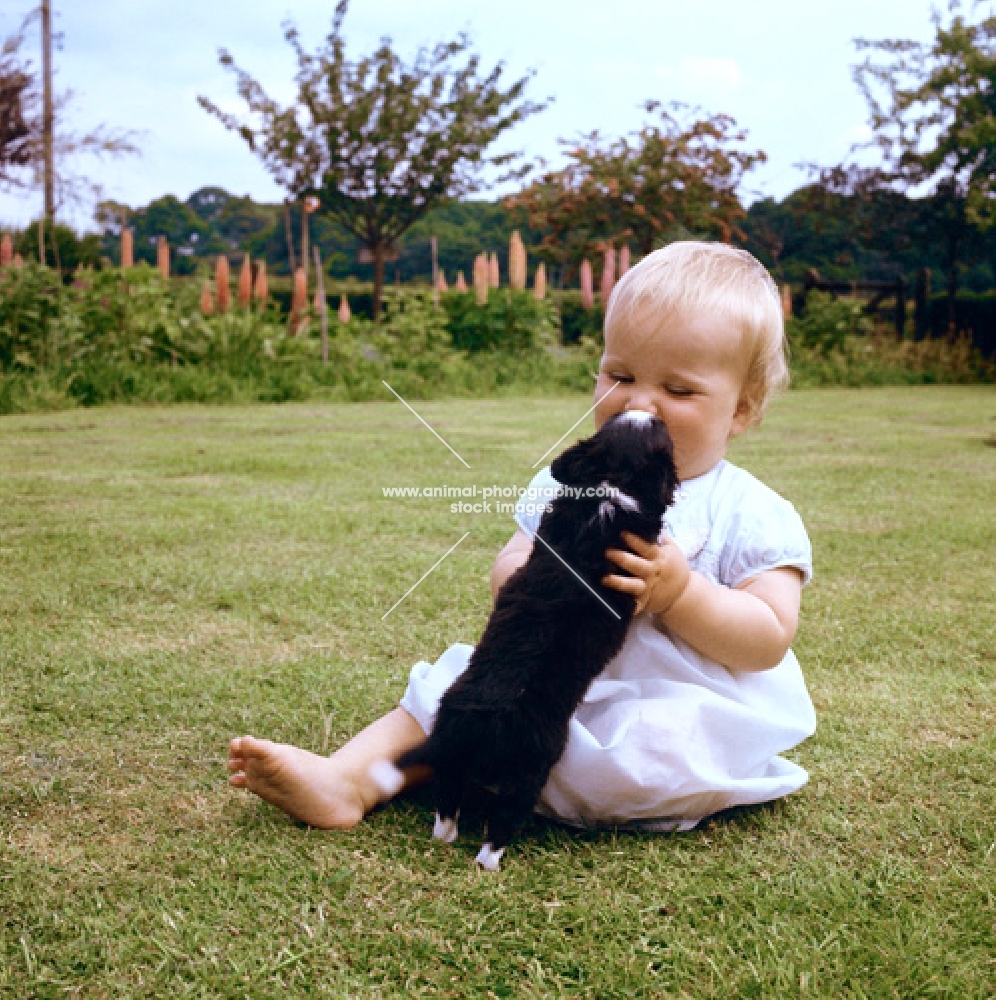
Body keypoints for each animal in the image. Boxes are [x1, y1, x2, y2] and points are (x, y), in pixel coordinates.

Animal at [372, 410, 676, 872]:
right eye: (663, 435)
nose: (652, 411)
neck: (609, 487)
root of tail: (481, 721)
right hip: (531, 771)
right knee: (499, 828)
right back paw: (490, 862)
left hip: (452, 756)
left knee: (447, 807)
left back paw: (446, 836)